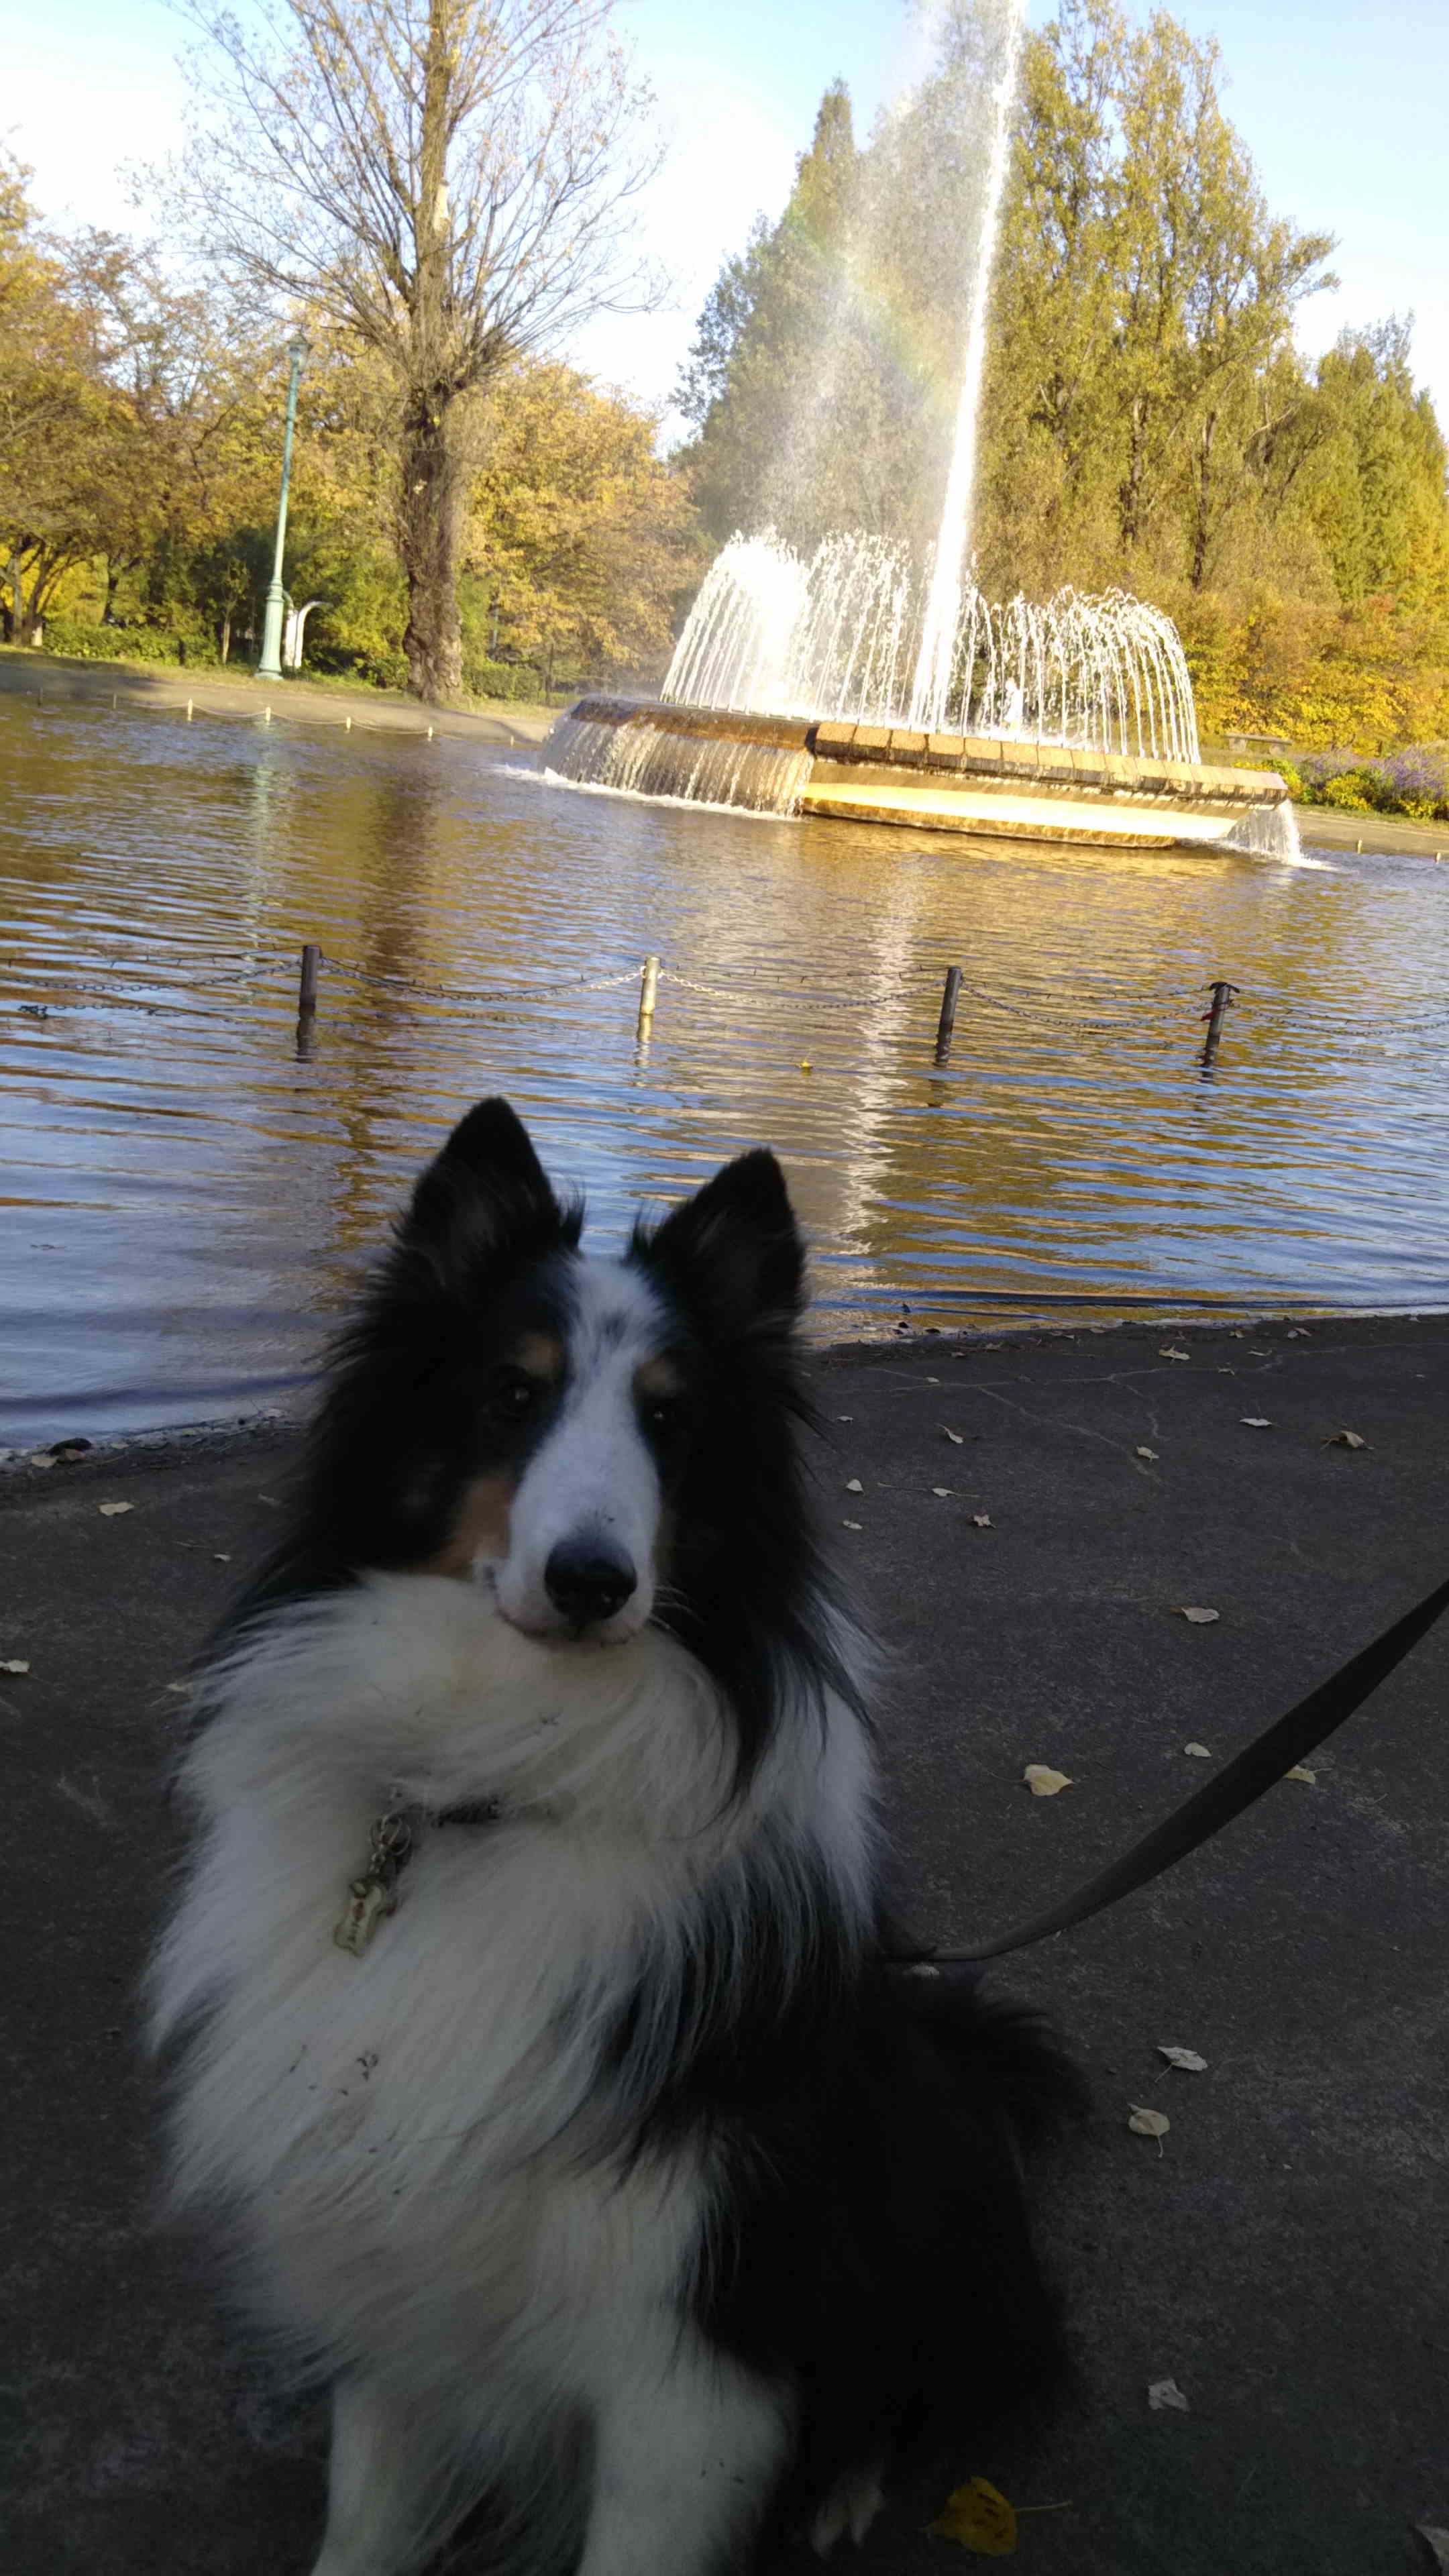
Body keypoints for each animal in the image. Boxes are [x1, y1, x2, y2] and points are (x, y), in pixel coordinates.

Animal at [148, 1099, 1080, 2575]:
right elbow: (366, 2520)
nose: (592, 1584)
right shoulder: (393, 2272)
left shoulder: (688, 2381)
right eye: (511, 1396)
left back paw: (845, 2489)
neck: (501, 1777)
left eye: (671, 1421)